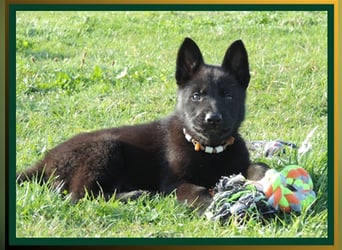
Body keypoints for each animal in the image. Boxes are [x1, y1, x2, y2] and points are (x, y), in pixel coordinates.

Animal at [16, 37, 268, 209]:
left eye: (229, 96)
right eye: (196, 96)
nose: (213, 119)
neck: (210, 151)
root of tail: (46, 160)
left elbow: (259, 166)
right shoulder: (173, 183)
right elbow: (199, 192)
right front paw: (215, 207)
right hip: (105, 148)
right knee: (79, 196)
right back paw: (134, 195)